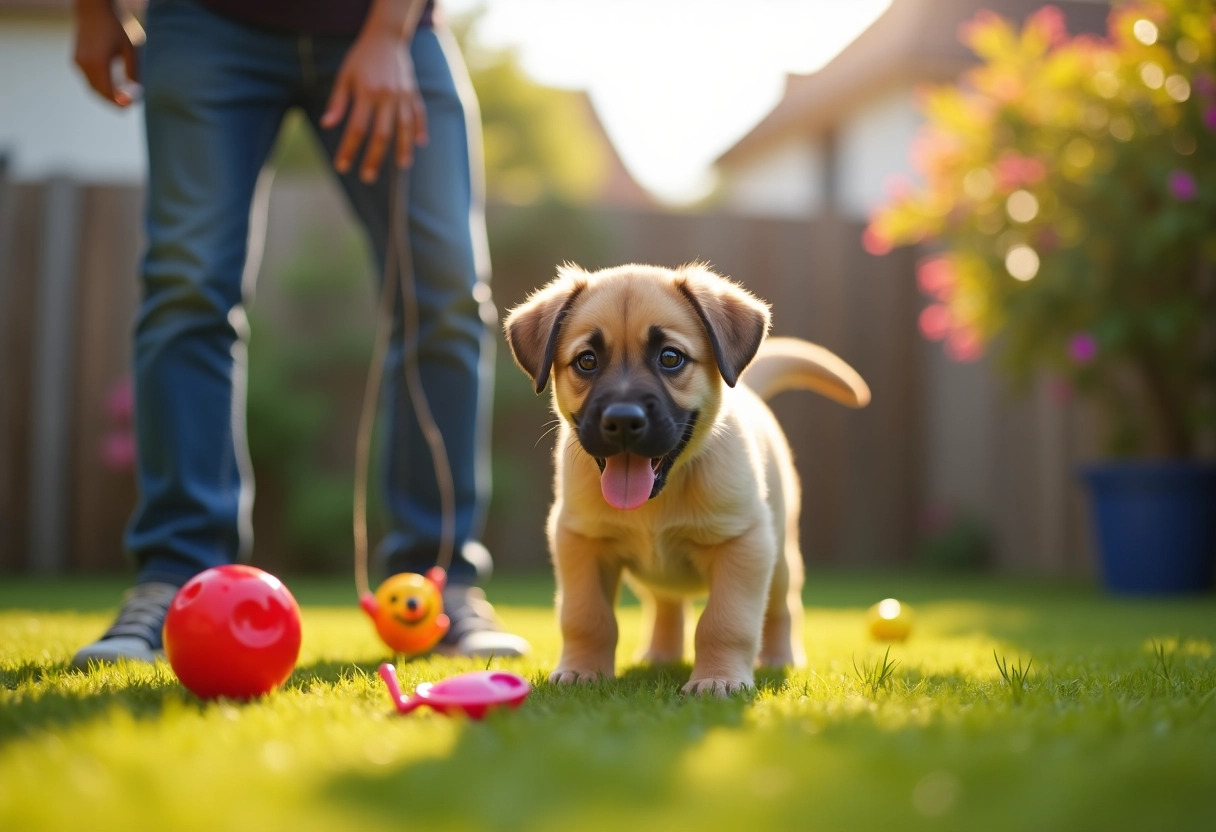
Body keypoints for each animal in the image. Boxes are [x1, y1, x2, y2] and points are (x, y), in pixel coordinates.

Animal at [505, 262, 875, 690]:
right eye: (586, 361)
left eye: (670, 357)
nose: (623, 420)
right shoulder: (580, 541)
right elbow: (586, 617)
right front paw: (582, 671)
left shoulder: (744, 544)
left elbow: (725, 622)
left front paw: (718, 680)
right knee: (667, 604)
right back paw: (660, 656)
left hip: (781, 557)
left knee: (782, 608)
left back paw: (779, 659)